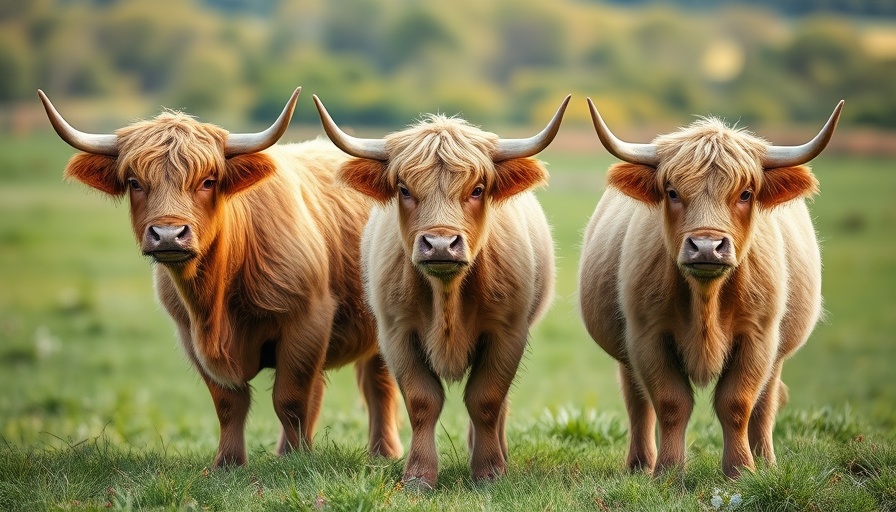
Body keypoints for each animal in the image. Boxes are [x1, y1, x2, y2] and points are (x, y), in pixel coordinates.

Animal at [38, 88, 403, 467]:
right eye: (135, 183)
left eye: (207, 182)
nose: (168, 235)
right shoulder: (191, 335)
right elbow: (229, 404)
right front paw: (228, 463)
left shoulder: (307, 320)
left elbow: (290, 398)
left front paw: (297, 461)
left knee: (378, 384)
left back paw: (382, 453)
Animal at [313, 95, 569, 488]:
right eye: (404, 189)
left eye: (477, 189)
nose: (440, 245)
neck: (447, 296)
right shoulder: (397, 334)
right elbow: (422, 402)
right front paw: (419, 475)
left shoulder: (507, 333)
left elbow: (486, 399)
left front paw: (489, 471)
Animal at [578, 99, 843, 478]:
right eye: (672, 192)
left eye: (746, 193)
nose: (706, 247)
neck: (706, 299)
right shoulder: (647, 335)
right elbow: (671, 402)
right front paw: (668, 472)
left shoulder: (759, 336)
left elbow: (737, 402)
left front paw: (741, 470)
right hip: (626, 353)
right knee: (637, 401)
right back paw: (640, 465)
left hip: (777, 353)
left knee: (766, 401)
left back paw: (767, 461)